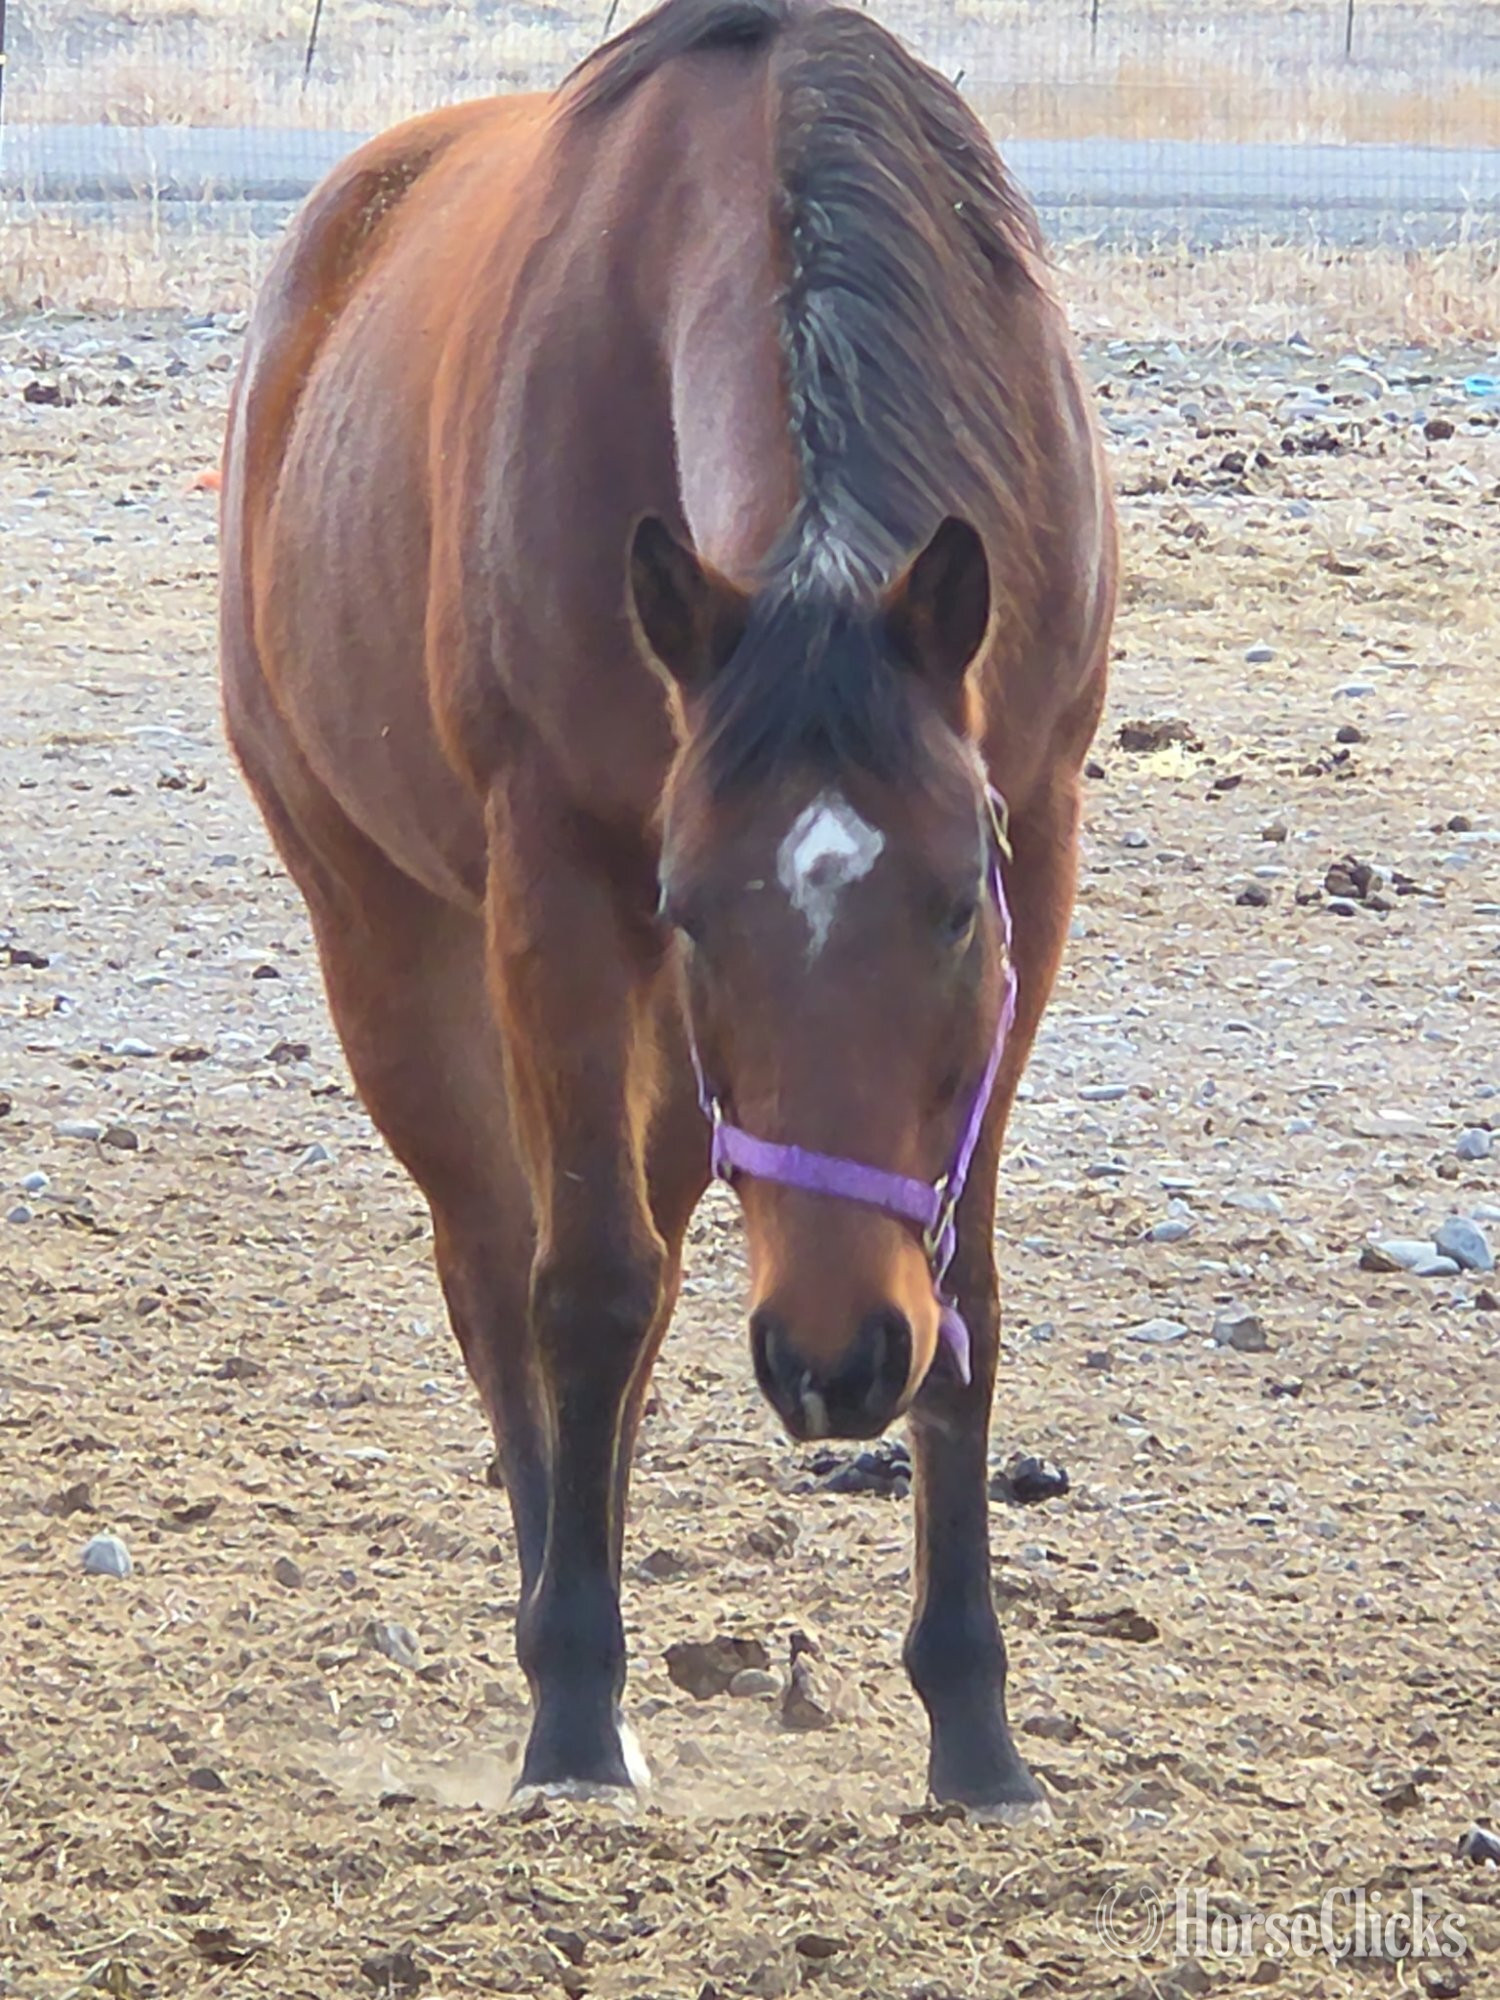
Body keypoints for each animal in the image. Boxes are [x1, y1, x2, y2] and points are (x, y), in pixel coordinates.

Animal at [220, 0, 1116, 1809]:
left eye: (956, 910)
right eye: (693, 906)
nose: (837, 1360)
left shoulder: (1042, 849)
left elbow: (969, 1303)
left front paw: (976, 1730)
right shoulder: (564, 883)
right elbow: (586, 1291)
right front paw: (573, 1703)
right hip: (389, 941)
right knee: (504, 1270)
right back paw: (569, 1636)